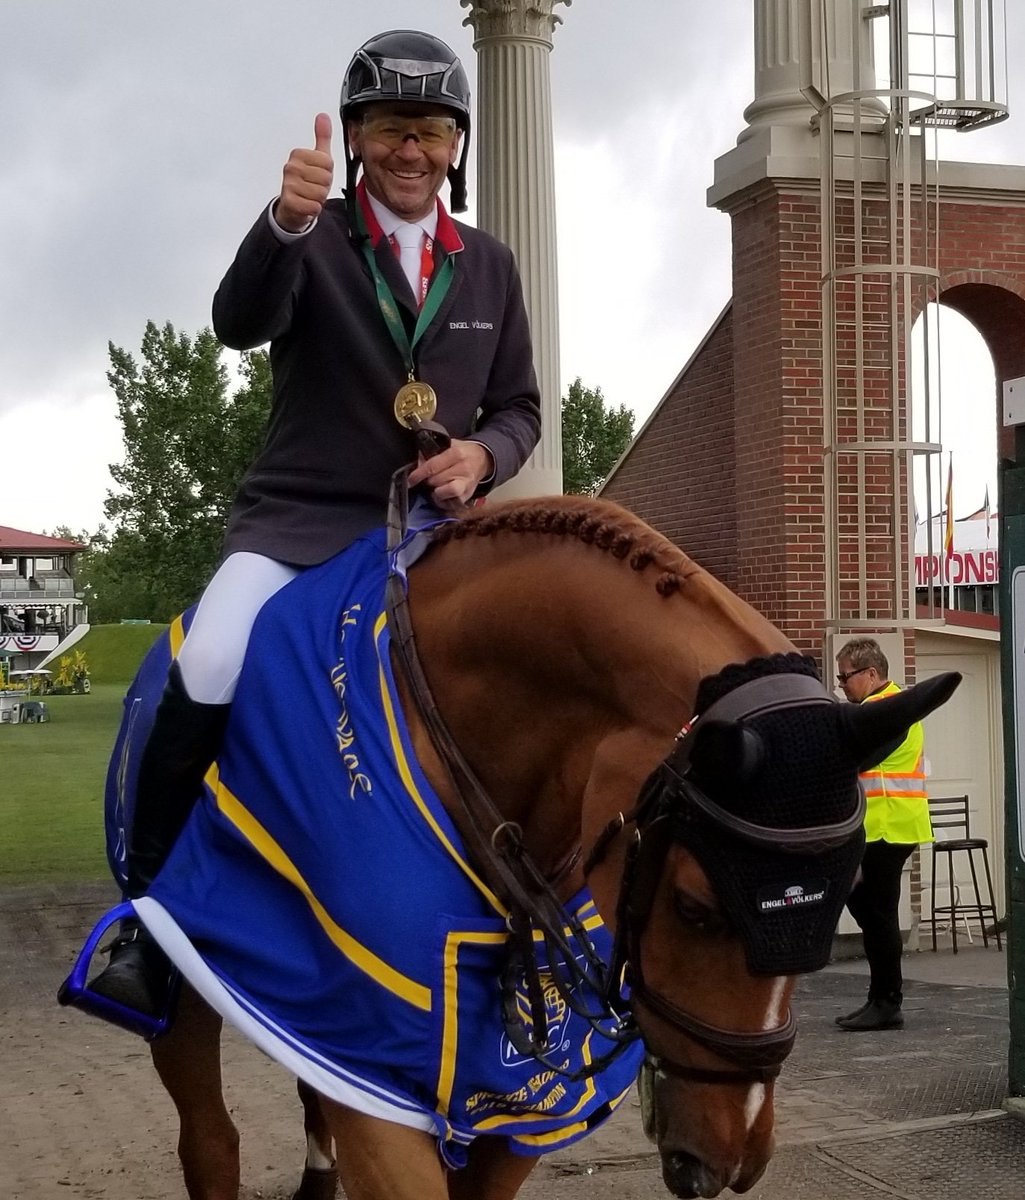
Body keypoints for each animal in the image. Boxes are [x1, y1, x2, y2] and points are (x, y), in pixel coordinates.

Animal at [67, 491, 959, 1200]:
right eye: (694, 908)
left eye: (832, 902)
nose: (729, 1157)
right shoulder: (380, 1080)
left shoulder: (496, 1092)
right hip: (191, 976)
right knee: (210, 1141)